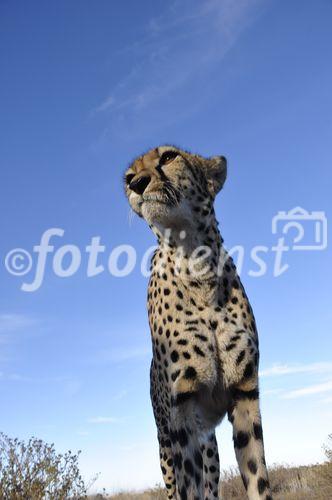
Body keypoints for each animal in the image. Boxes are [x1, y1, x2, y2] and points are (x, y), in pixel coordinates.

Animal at [123, 146, 272, 500]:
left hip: (211, 450)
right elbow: (188, 486)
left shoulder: (245, 393)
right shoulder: (183, 409)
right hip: (165, 447)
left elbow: (257, 476)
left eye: (168, 157)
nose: (136, 183)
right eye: (128, 176)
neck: (195, 259)